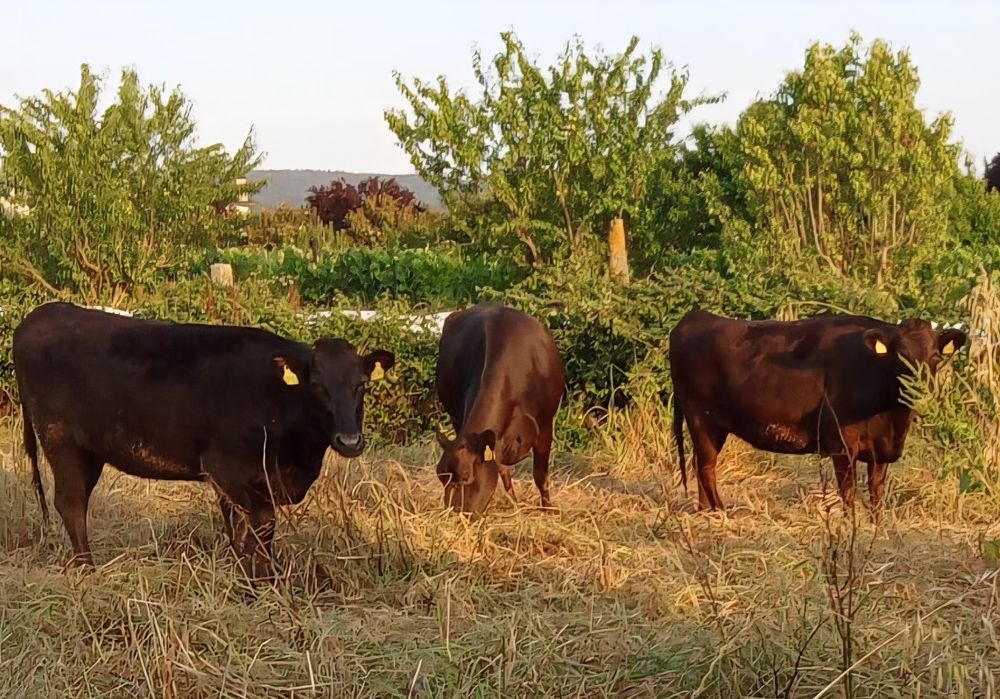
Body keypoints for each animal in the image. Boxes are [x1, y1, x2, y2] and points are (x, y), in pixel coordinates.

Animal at [13, 302, 394, 575]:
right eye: (317, 386)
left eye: (361, 384)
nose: (349, 441)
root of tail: (40, 314)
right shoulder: (229, 471)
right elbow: (259, 528)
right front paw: (258, 582)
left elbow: (246, 532)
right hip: (58, 436)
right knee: (70, 501)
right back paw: (87, 569)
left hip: (89, 449)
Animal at [434, 304, 565, 517]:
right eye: (440, 477)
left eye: (466, 477)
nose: (455, 514)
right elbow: (502, 470)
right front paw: (515, 505)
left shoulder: (545, 424)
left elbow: (540, 474)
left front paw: (549, 509)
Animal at [670, 310, 966, 512]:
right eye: (900, 356)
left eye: (936, 357)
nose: (919, 390)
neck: (892, 421)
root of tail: (695, 317)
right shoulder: (842, 443)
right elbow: (849, 492)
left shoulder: (880, 450)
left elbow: (876, 492)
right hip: (702, 420)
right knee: (706, 467)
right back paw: (720, 511)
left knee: (699, 465)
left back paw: (706, 511)